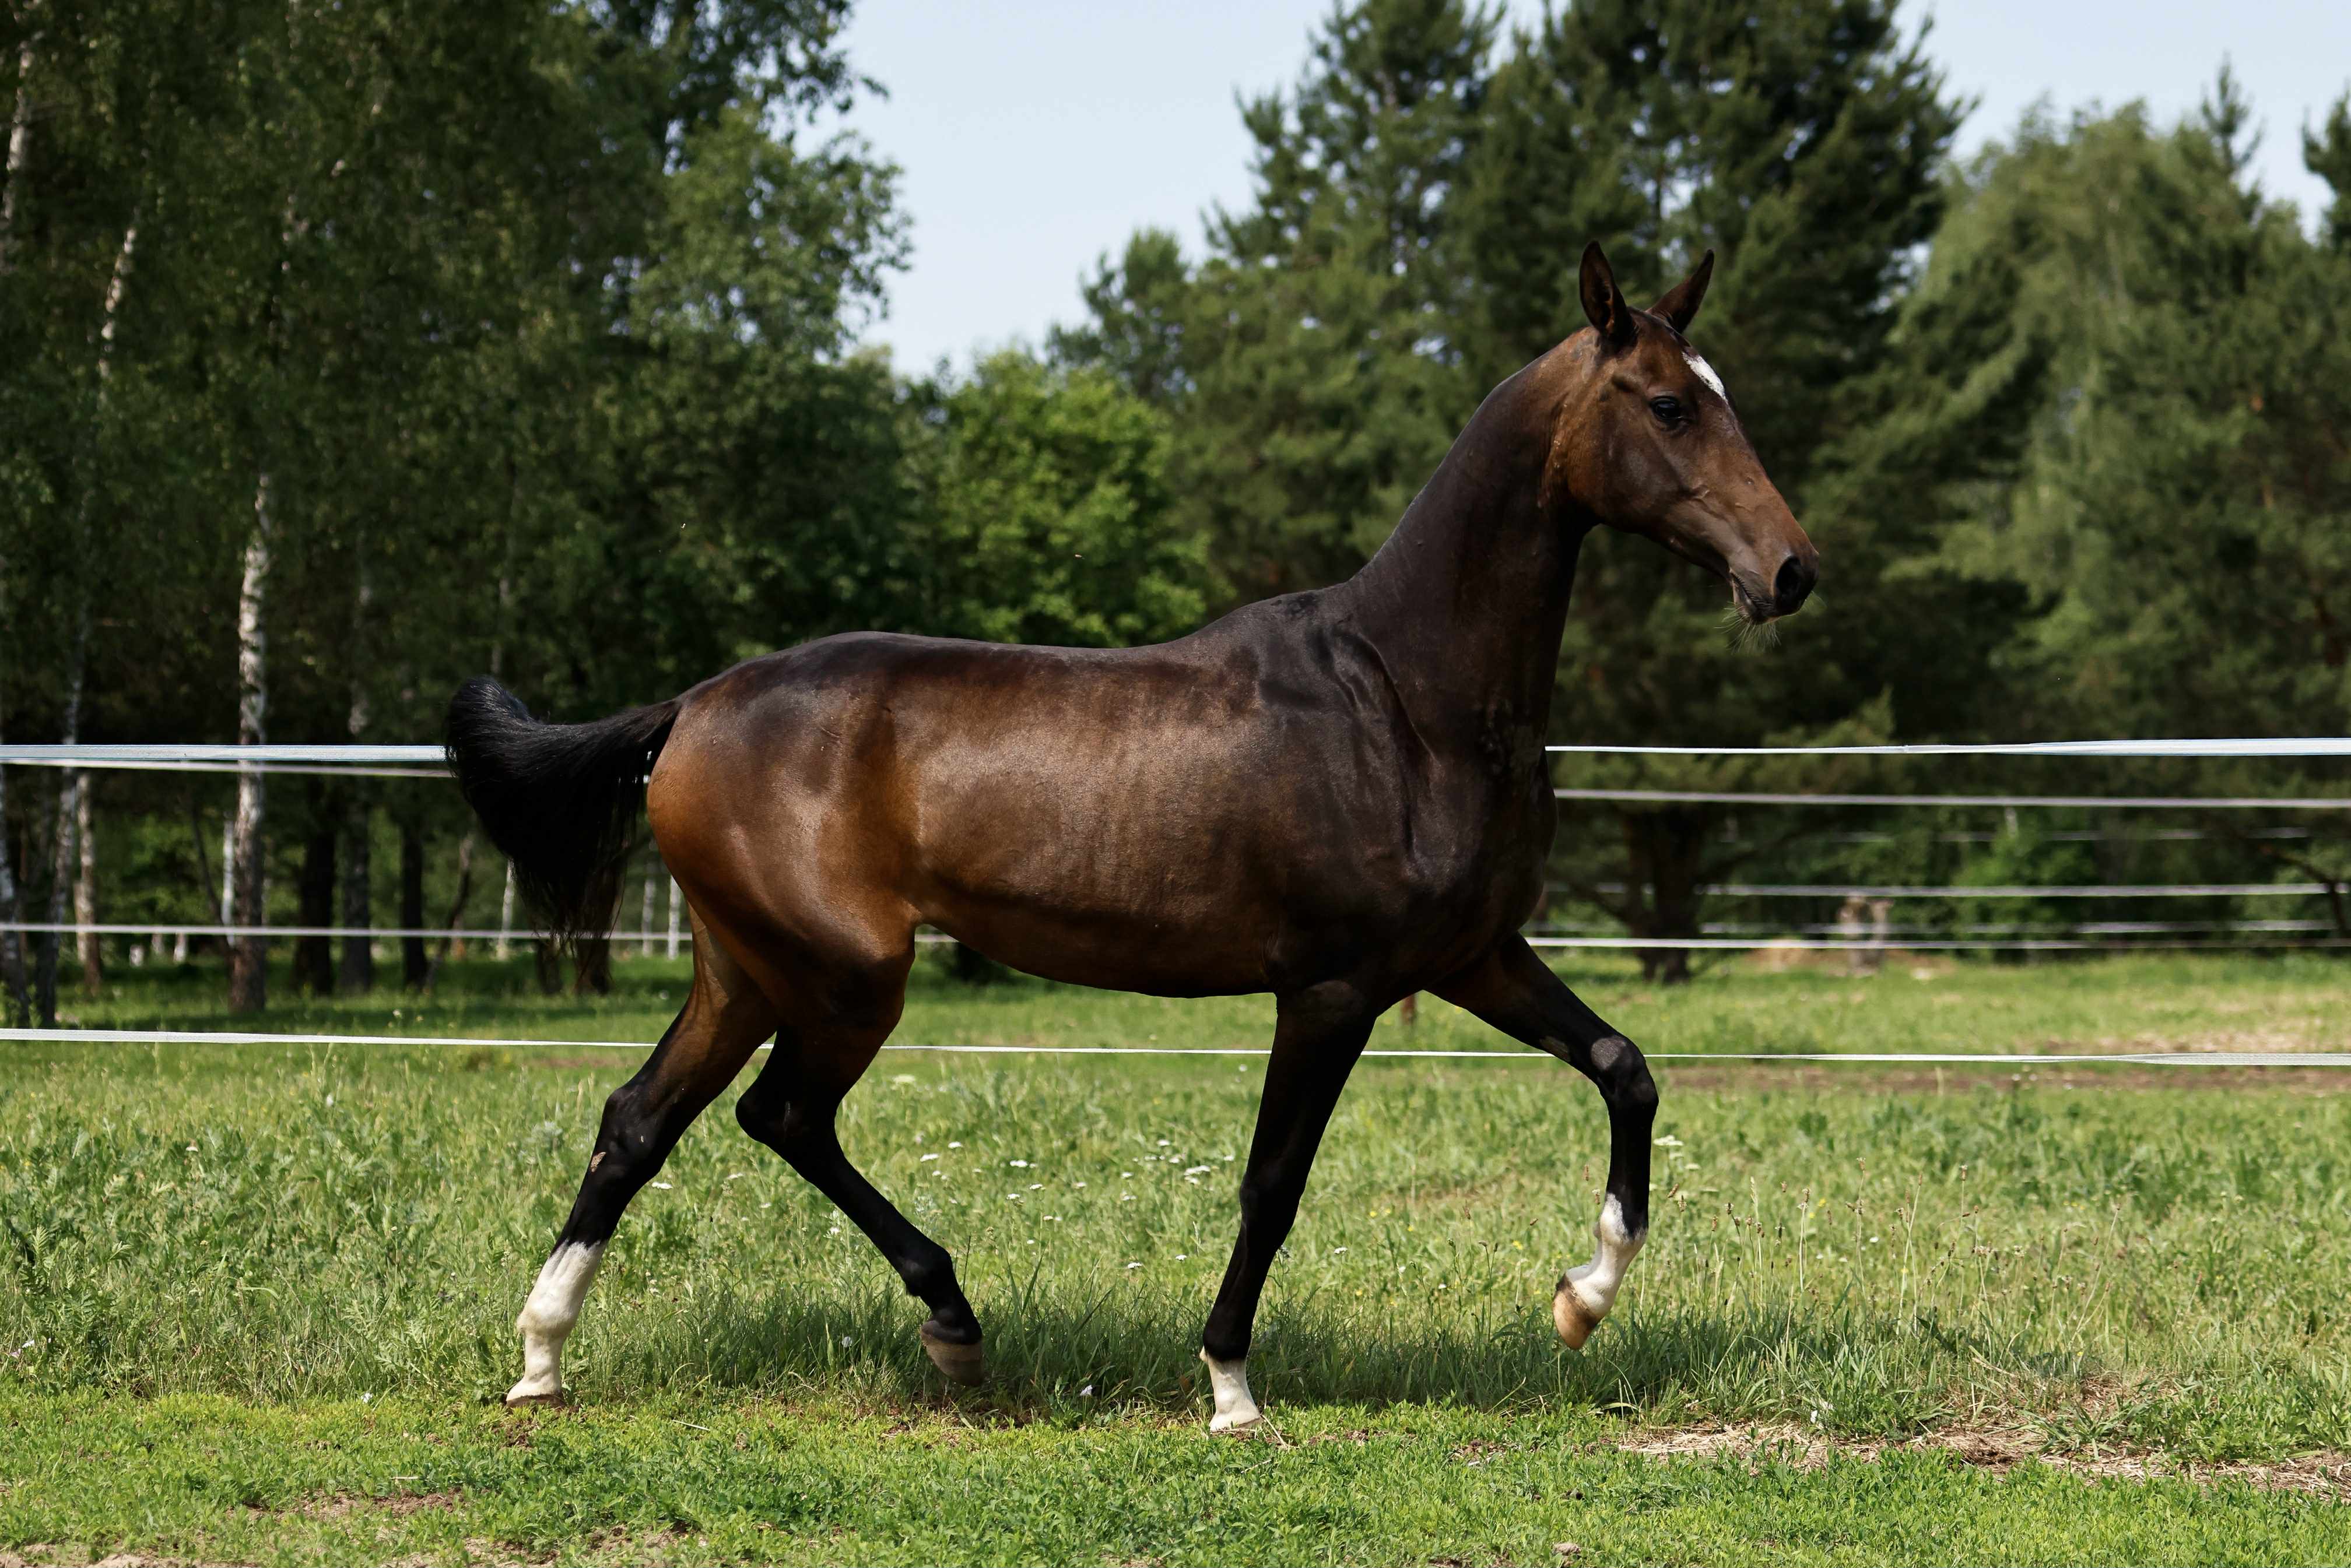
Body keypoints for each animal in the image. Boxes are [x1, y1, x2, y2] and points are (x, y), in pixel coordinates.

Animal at [446, 242, 1817, 1432]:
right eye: (1667, 405)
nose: (1791, 572)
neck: (1404, 695)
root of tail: (692, 705)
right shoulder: (1332, 988)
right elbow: (1273, 1185)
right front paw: (1229, 1387)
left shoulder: (1475, 956)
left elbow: (1626, 1069)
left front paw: (1583, 1301)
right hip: (843, 978)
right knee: (781, 1116)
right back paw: (952, 1325)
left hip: (744, 969)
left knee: (640, 1122)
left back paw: (542, 1358)